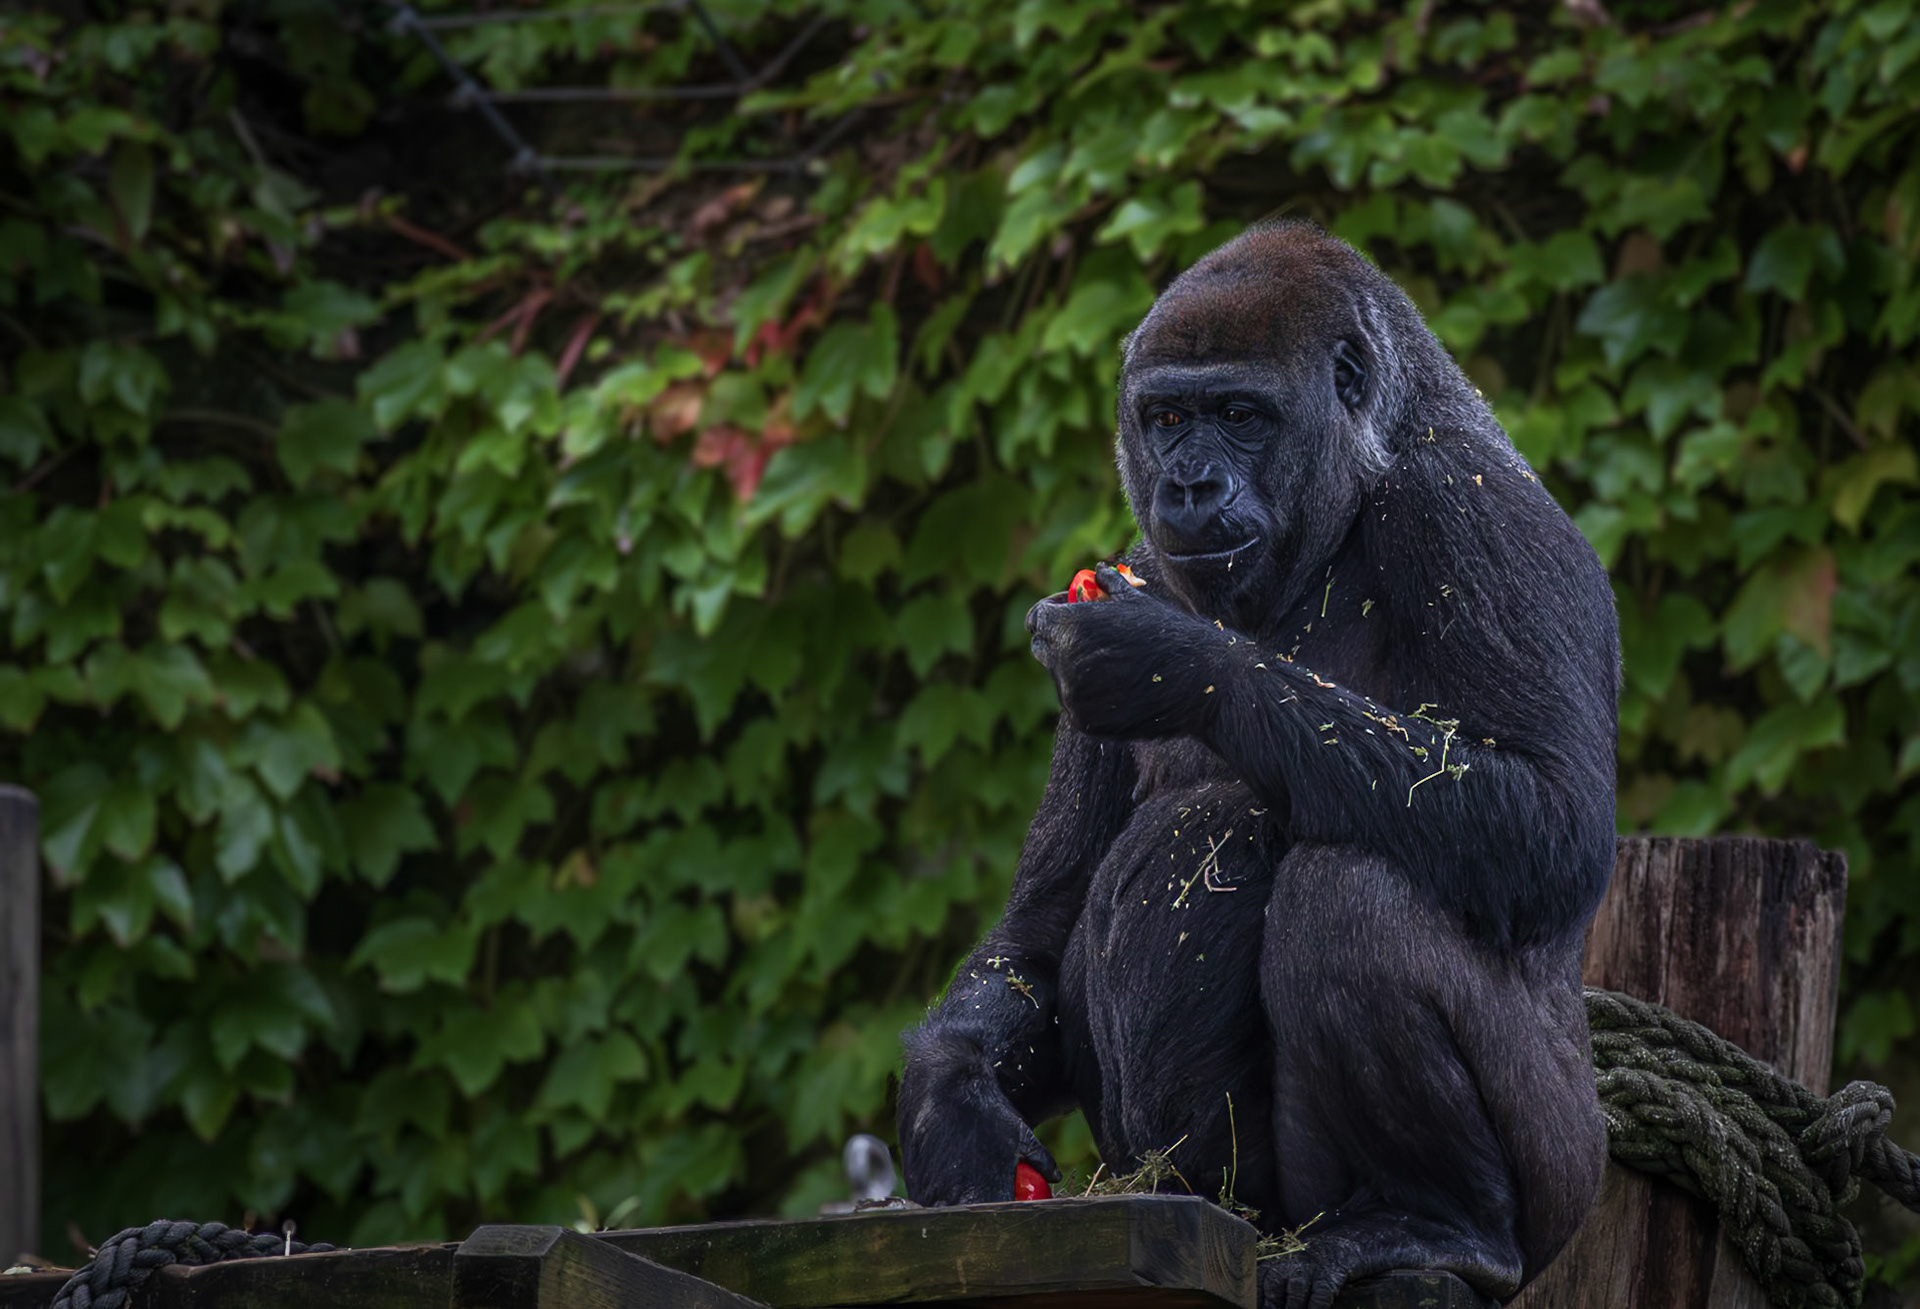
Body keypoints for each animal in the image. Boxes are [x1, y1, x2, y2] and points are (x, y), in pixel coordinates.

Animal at [896, 222, 1616, 1309]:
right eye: (1167, 418)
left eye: (1240, 415)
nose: (1188, 483)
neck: (1370, 465)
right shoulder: (1134, 553)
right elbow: (1038, 928)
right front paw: (953, 1108)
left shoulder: (1466, 506)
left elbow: (1551, 820)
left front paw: (1171, 661)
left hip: (1563, 1181)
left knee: (1353, 896)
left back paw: (1445, 1223)